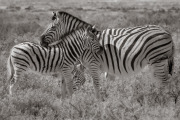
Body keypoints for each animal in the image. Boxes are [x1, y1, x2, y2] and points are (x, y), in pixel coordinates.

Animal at [40, 11, 174, 100]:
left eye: (53, 27)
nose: (40, 41)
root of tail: (167, 31)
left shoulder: (93, 64)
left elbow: (95, 84)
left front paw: (98, 102)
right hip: (157, 61)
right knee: (162, 80)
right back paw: (159, 97)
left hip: (158, 59)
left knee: (164, 81)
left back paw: (163, 100)